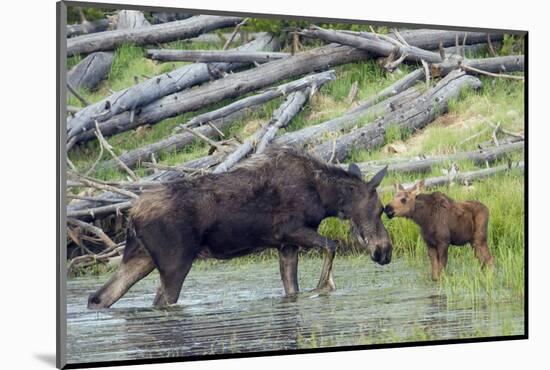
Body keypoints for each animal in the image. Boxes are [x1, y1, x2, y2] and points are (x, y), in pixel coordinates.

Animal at [87, 145, 392, 310]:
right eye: (380, 209)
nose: (384, 251)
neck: (325, 196)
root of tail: (132, 214)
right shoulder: (289, 231)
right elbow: (332, 245)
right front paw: (324, 286)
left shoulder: (286, 245)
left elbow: (291, 288)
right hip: (175, 263)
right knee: (161, 301)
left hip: (141, 257)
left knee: (100, 297)